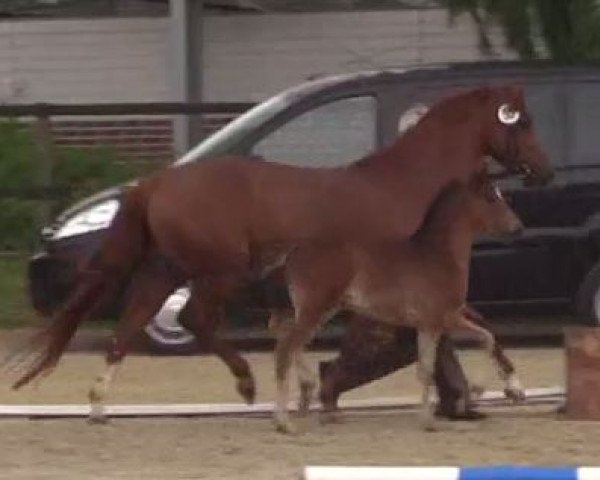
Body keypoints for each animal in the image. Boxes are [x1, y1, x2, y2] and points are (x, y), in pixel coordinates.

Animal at [9, 86, 552, 424]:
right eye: (521, 121)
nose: (544, 172)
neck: (408, 184)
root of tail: (158, 181)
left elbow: (457, 331)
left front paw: (490, 393)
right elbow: (419, 342)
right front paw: (494, 391)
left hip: (167, 269)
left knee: (131, 324)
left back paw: (100, 404)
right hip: (219, 270)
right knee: (194, 318)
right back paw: (250, 384)